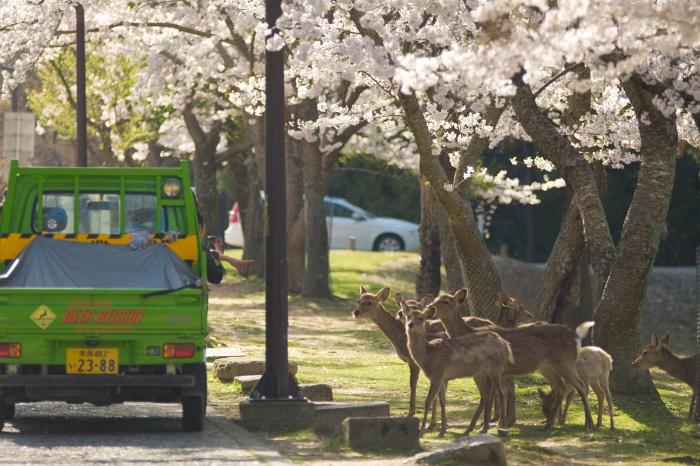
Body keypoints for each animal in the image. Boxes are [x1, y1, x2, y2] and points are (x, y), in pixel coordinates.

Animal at [400, 302, 516, 436]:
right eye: (408, 316)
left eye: (421, 318)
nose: (410, 324)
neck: (428, 357)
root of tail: (506, 345)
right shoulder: (442, 378)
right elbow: (442, 400)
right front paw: (442, 430)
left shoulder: (437, 375)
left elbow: (428, 401)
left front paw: (422, 430)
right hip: (480, 373)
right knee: (486, 395)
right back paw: (473, 429)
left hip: (495, 368)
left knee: (501, 393)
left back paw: (502, 428)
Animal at [426, 290, 596, 432]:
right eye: (435, 299)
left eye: (446, 301)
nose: (430, 306)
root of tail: (576, 338)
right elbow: (496, 395)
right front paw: (494, 424)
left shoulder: (493, 371)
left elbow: (493, 395)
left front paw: (492, 425)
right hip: (547, 367)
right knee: (562, 387)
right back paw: (550, 424)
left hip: (565, 362)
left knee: (581, 386)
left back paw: (589, 425)